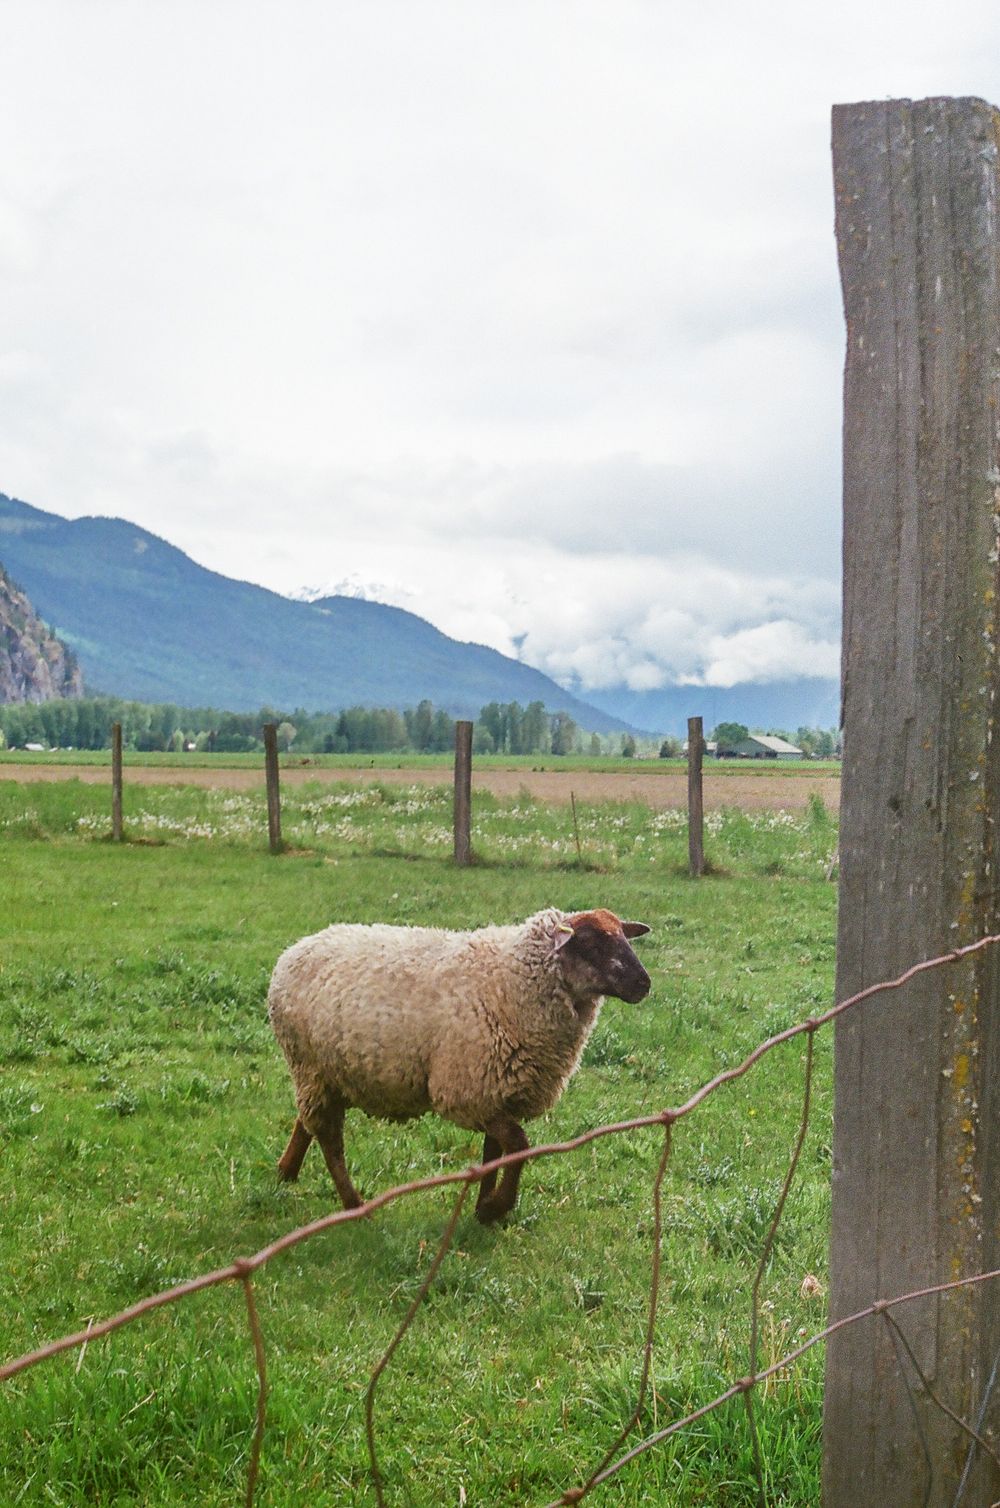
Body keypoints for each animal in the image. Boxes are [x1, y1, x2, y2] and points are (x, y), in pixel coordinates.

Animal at [268, 906, 652, 1223]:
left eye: (623, 935)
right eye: (589, 942)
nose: (643, 983)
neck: (510, 982)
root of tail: (295, 950)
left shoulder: (497, 1091)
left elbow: (494, 1152)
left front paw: (483, 1208)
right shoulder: (467, 1093)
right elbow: (519, 1145)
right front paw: (496, 1207)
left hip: (331, 1074)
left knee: (308, 1121)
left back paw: (286, 1171)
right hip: (309, 1066)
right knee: (329, 1138)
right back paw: (353, 1205)